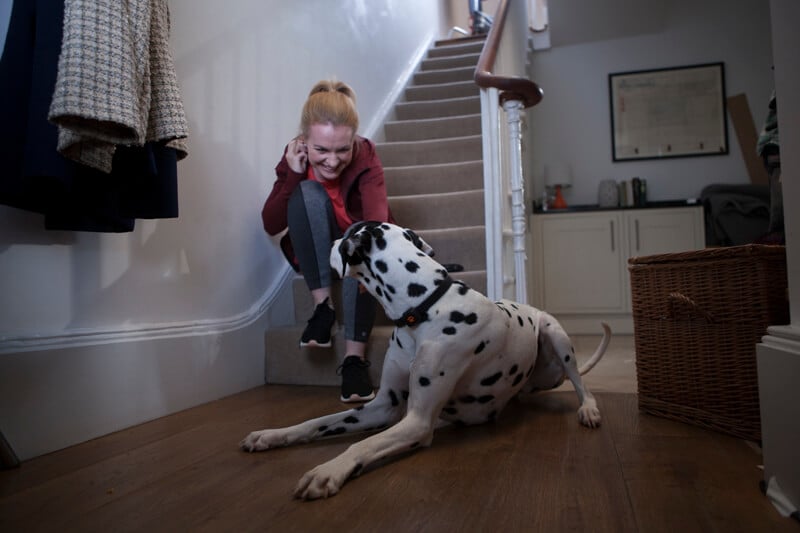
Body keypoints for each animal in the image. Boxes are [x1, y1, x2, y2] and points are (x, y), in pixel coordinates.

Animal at [241, 220, 608, 498]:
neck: (422, 307)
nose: (330, 241)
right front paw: (272, 435)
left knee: (581, 383)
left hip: (556, 336)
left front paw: (328, 470)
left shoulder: (417, 421)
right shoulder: (383, 406)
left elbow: (361, 446)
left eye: (347, 233)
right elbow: (316, 422)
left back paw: (588, 409)